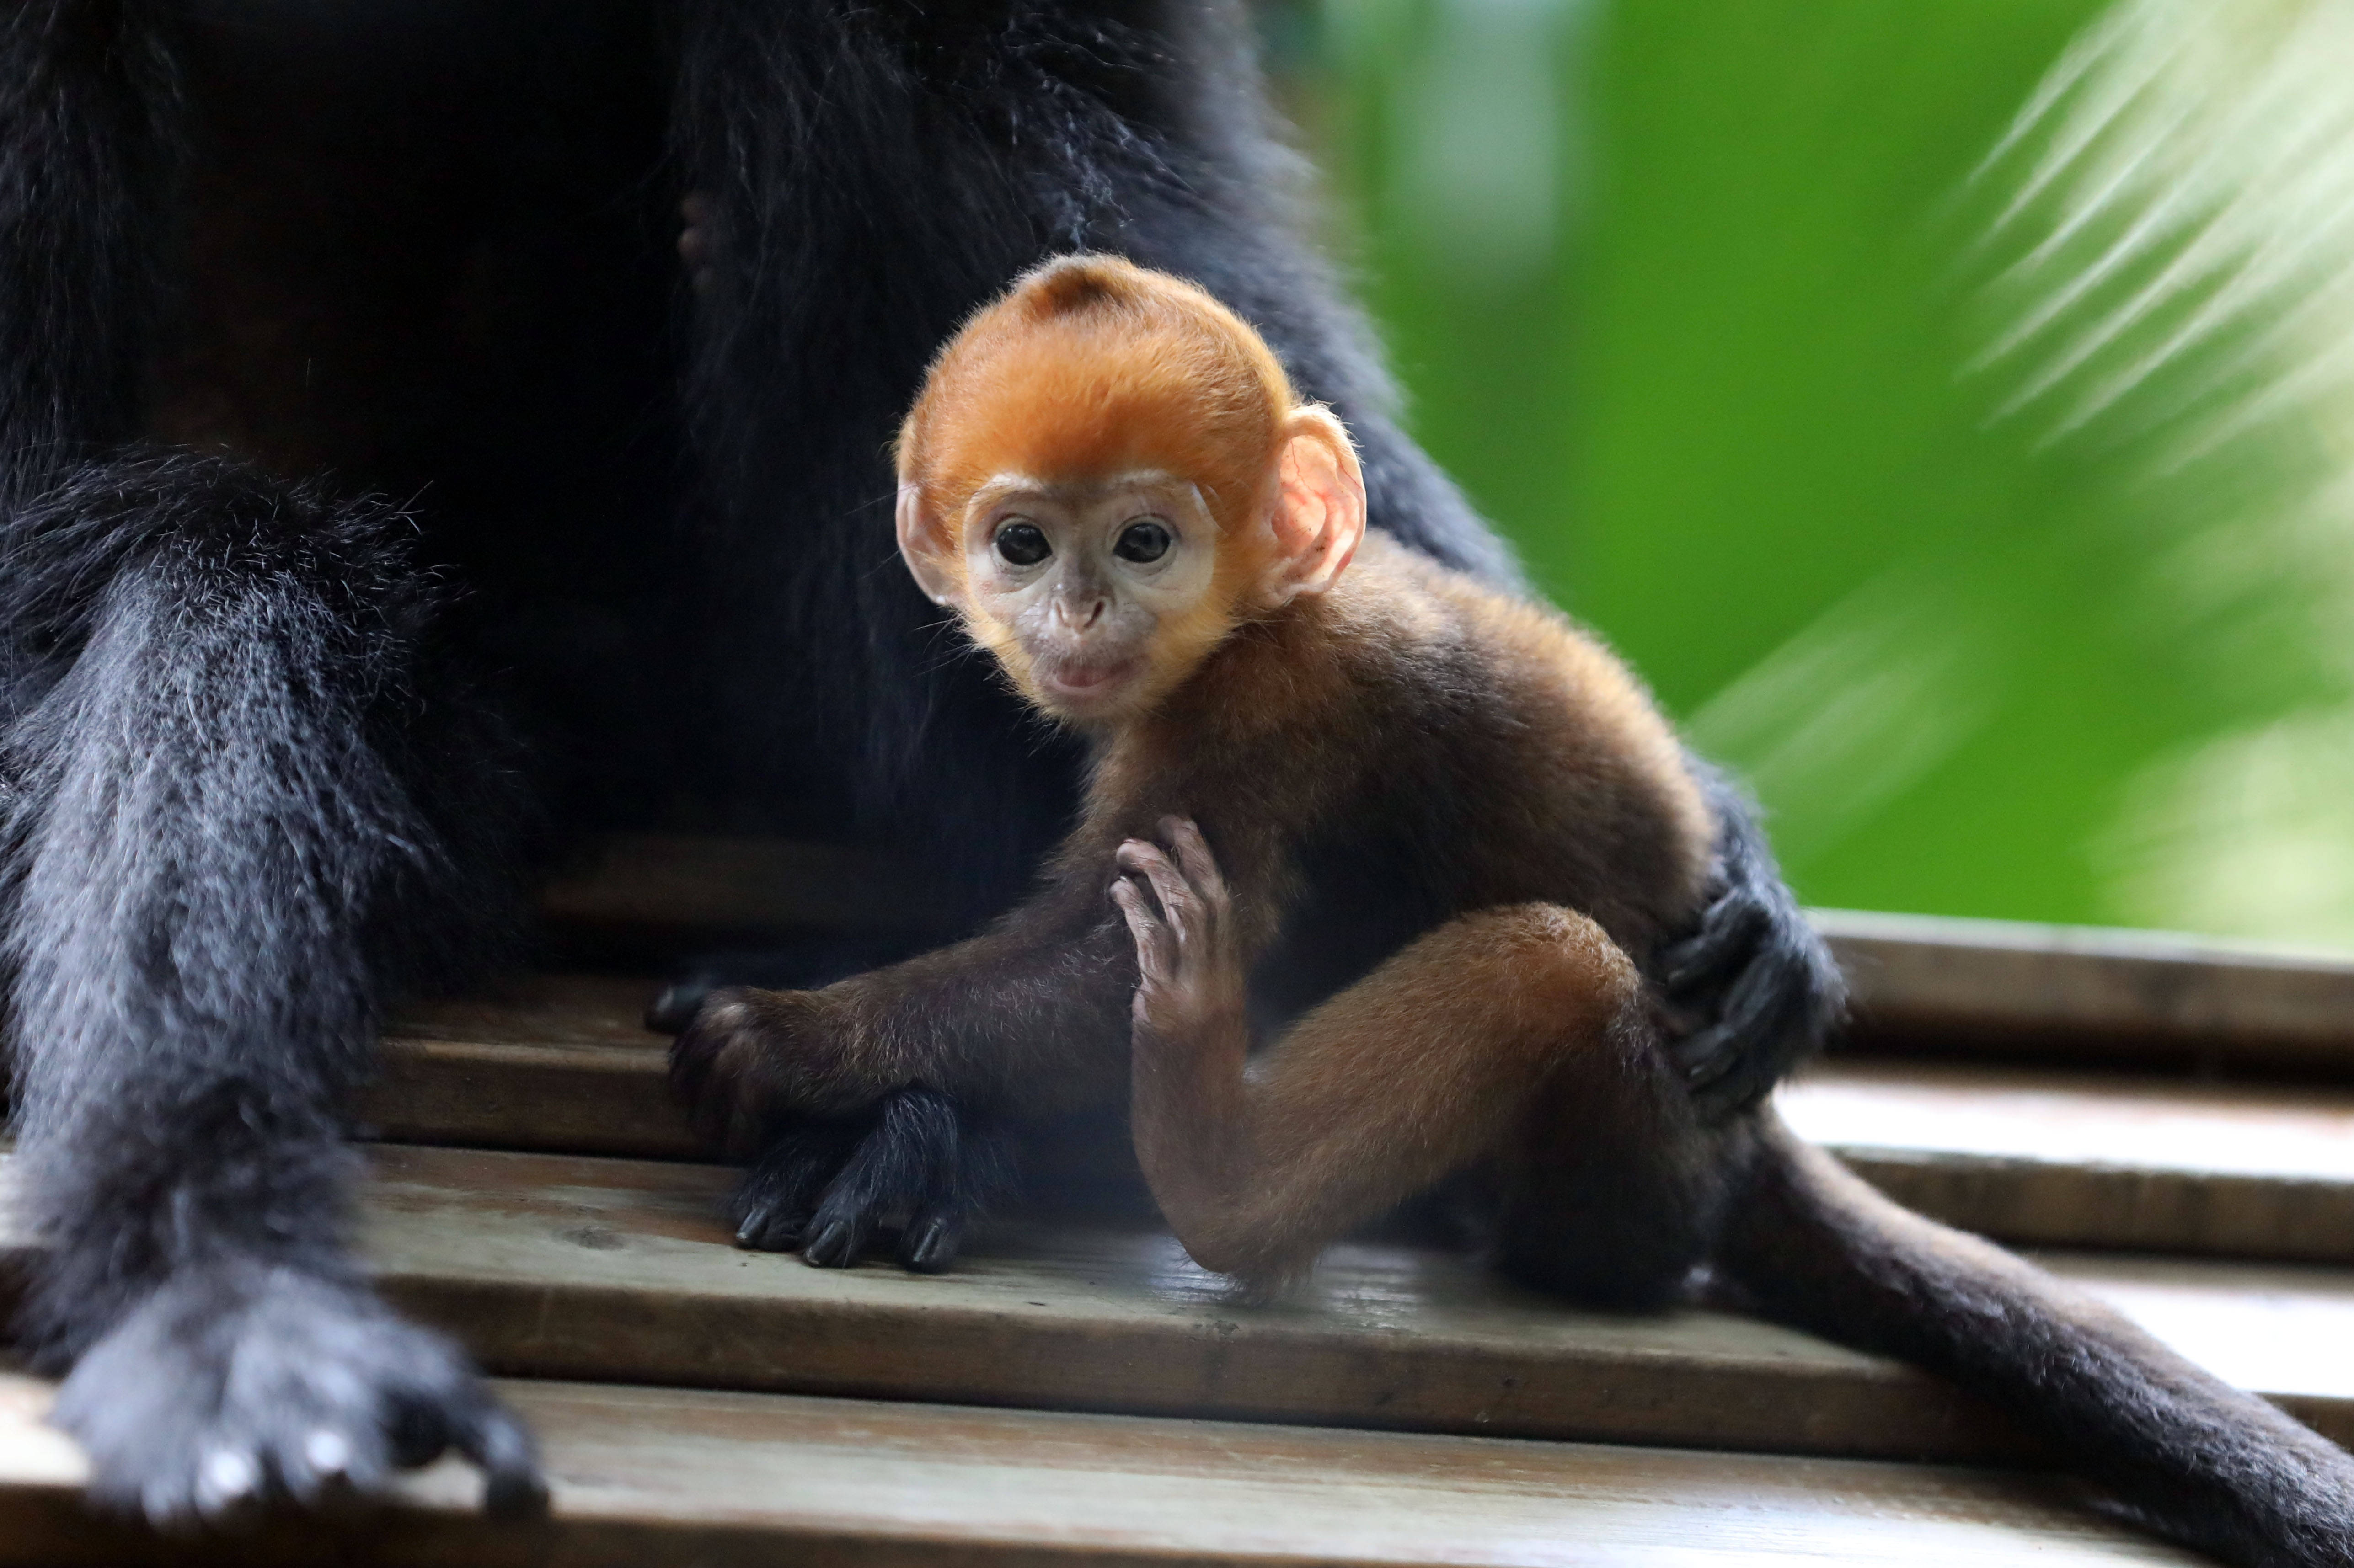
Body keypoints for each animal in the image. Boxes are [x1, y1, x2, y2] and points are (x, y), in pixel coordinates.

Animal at [682, 251, 2354, 1554]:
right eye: (1022, 542)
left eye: (1144, 541)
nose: (1078, 610)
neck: (1270, 603)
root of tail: (1749, 1138)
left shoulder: (1272, 700)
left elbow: (1100, 966)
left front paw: (789, 1036)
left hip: (1643, 1167)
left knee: (1551, 982)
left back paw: (1218, 1156)